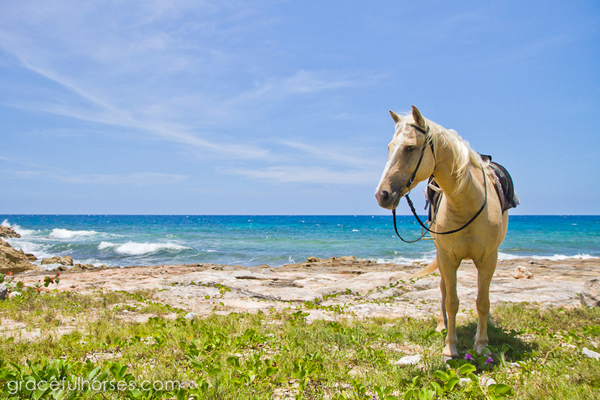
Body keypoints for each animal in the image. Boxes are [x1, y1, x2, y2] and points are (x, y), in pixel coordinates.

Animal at [376, 105, 510, 356]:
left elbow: (483, 301)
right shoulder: (448, 258)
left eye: (410, 148)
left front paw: (482, 344)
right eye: (389, 147)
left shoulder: (489, 259)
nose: (382, 195)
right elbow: (451, 302)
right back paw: (441, 325)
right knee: (443, 290)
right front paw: (450, 347)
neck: (466, 202)